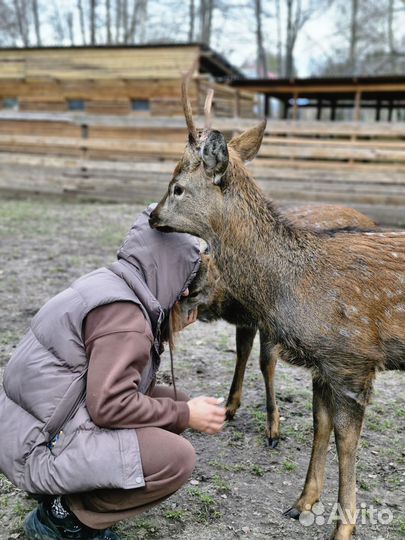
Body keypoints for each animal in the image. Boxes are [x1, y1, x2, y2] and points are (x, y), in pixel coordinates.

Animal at [180, 202, 376, 448]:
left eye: (194, 291)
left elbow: (266, 363)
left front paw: (273, 430)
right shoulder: (248, 320)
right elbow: (242, 352)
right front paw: (229, 408)